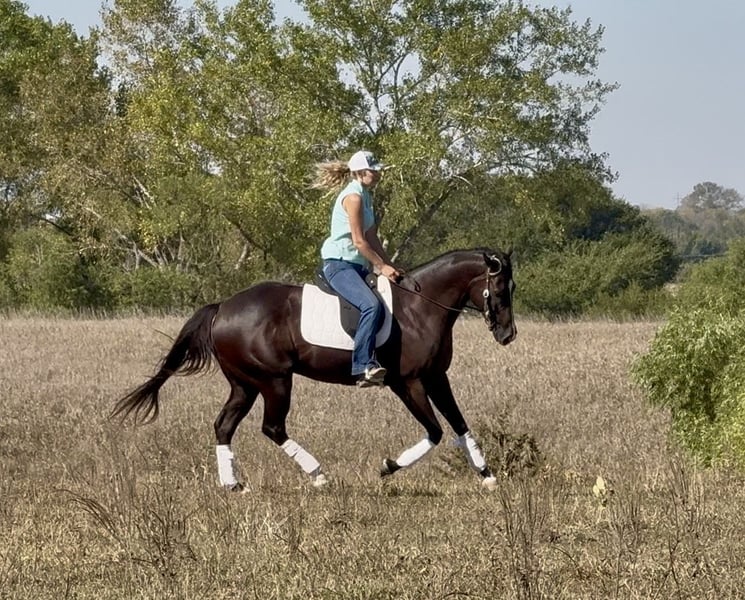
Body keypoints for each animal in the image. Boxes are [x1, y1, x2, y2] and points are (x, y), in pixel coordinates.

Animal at [112, 248, 517, 491]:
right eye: (499, 289)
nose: (508, 335)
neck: (420, 307)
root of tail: (223, 307)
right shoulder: (409, 382)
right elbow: (434, 430)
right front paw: (388, 466)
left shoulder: (436, 377)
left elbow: (460, 424)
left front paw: (487, 475)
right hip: (274, 380)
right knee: (272, 427)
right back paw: (318, 475)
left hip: (245, 384)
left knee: (224, 425)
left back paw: (233, 485)